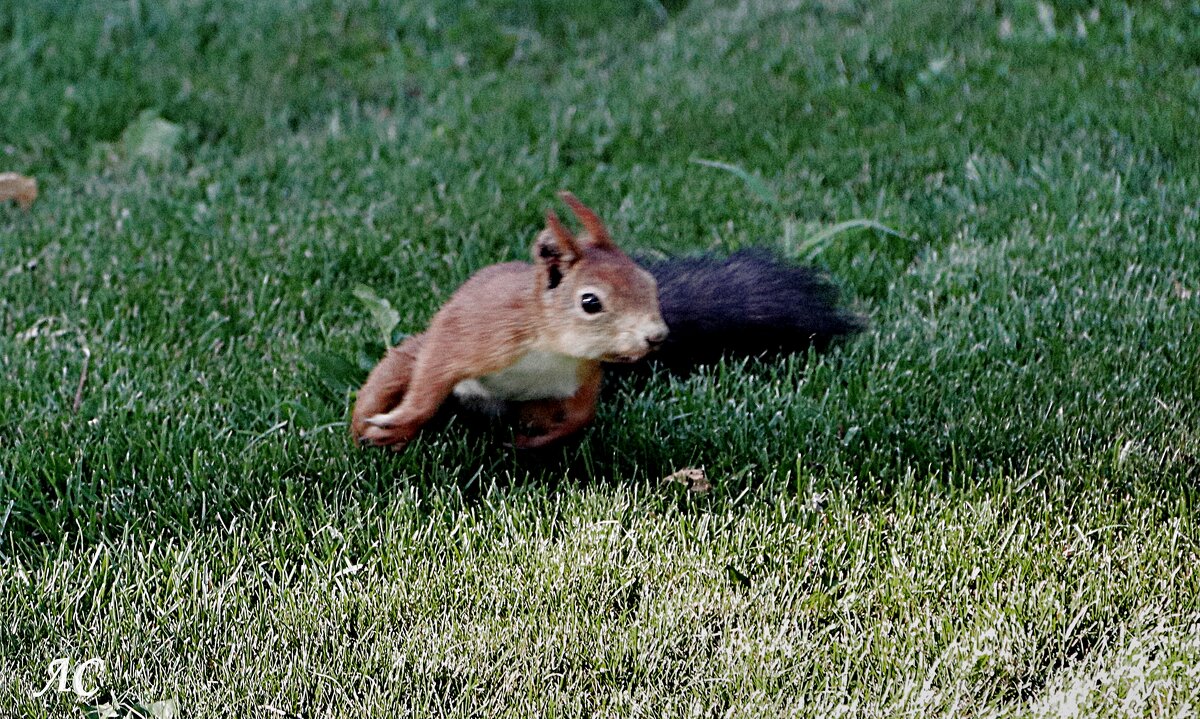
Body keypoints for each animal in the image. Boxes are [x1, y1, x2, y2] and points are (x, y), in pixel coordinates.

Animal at [348, 190, 864, 451]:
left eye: (650, 283)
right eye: (590, 302)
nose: (656, 336)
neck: (551, 346)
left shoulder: (585, 370)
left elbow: (583, 412)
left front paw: (546, 438)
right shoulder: (480, 336)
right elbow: (432, 375)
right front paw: (398, 423)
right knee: (404, 365)